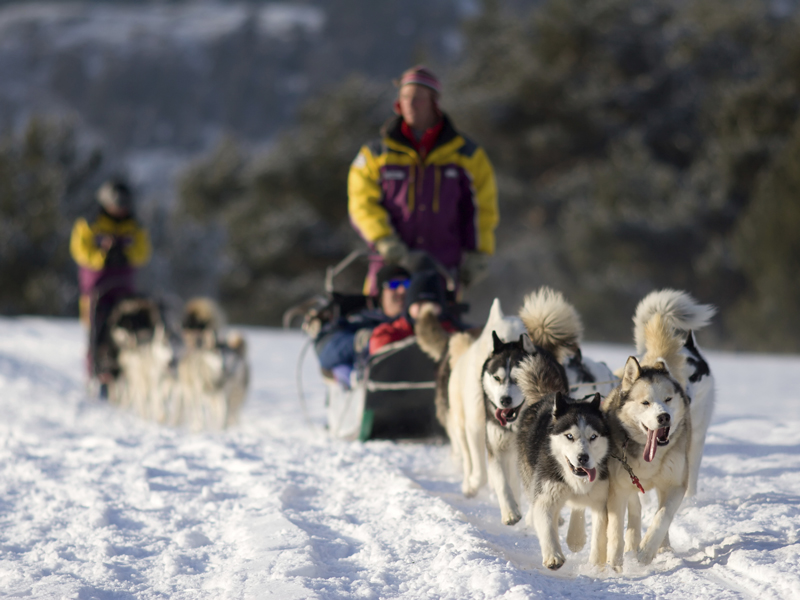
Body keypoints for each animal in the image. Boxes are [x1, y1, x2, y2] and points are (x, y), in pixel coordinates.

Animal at [516, 392, 608, 568]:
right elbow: (546, 525)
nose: (583, 457)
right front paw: (553, 556)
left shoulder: (601, 498)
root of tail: (549, 395)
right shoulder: (546, 495)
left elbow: (599, 532)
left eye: (593, 436)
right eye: (569, 436)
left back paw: (576, 537)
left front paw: (595, 564)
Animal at [604, 314, 692, 568]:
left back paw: (661, 547)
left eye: (668, 399)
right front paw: (614, 563)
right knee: (634, 510)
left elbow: (663, 517)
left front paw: (647, 550)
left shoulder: (675, 484)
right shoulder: (618, 489)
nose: (664, 417)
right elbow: (615, 530)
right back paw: (632, 543)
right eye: (645, 402)